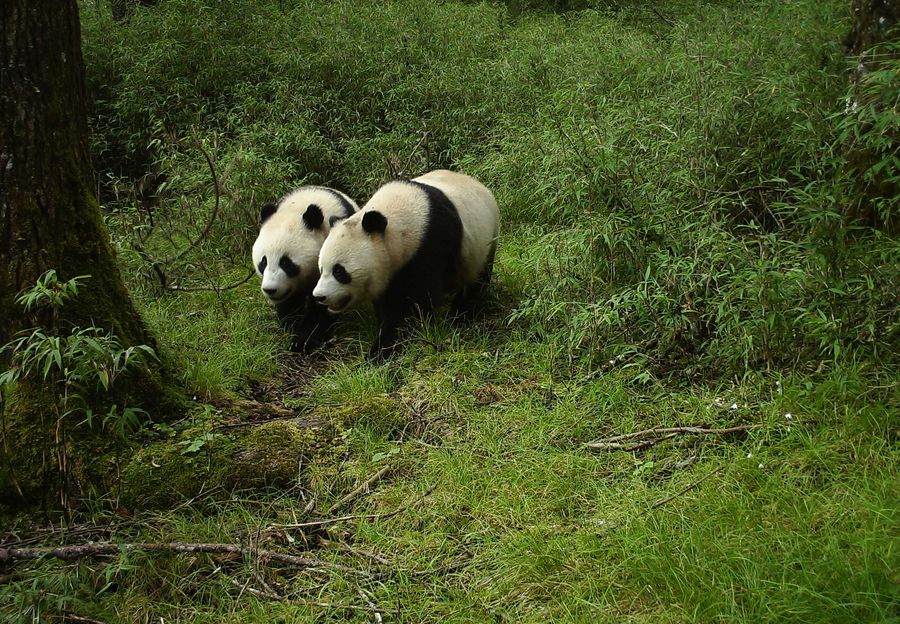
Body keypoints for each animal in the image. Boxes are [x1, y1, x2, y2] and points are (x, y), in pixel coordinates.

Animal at [251, 186, 357, 352]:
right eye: (263, 262)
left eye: (286, 263)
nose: (270, 290)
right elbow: (290, 303)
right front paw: (290, 326)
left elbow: (321, 308)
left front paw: (303, 342)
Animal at [312, 169, 499, 359]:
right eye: (321, 269)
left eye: (339, 272)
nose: (319, 296)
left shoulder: (431, 244)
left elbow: (412, 303)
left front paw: (383, 348)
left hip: (484, 242)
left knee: (475, 281)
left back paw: (460, 316)